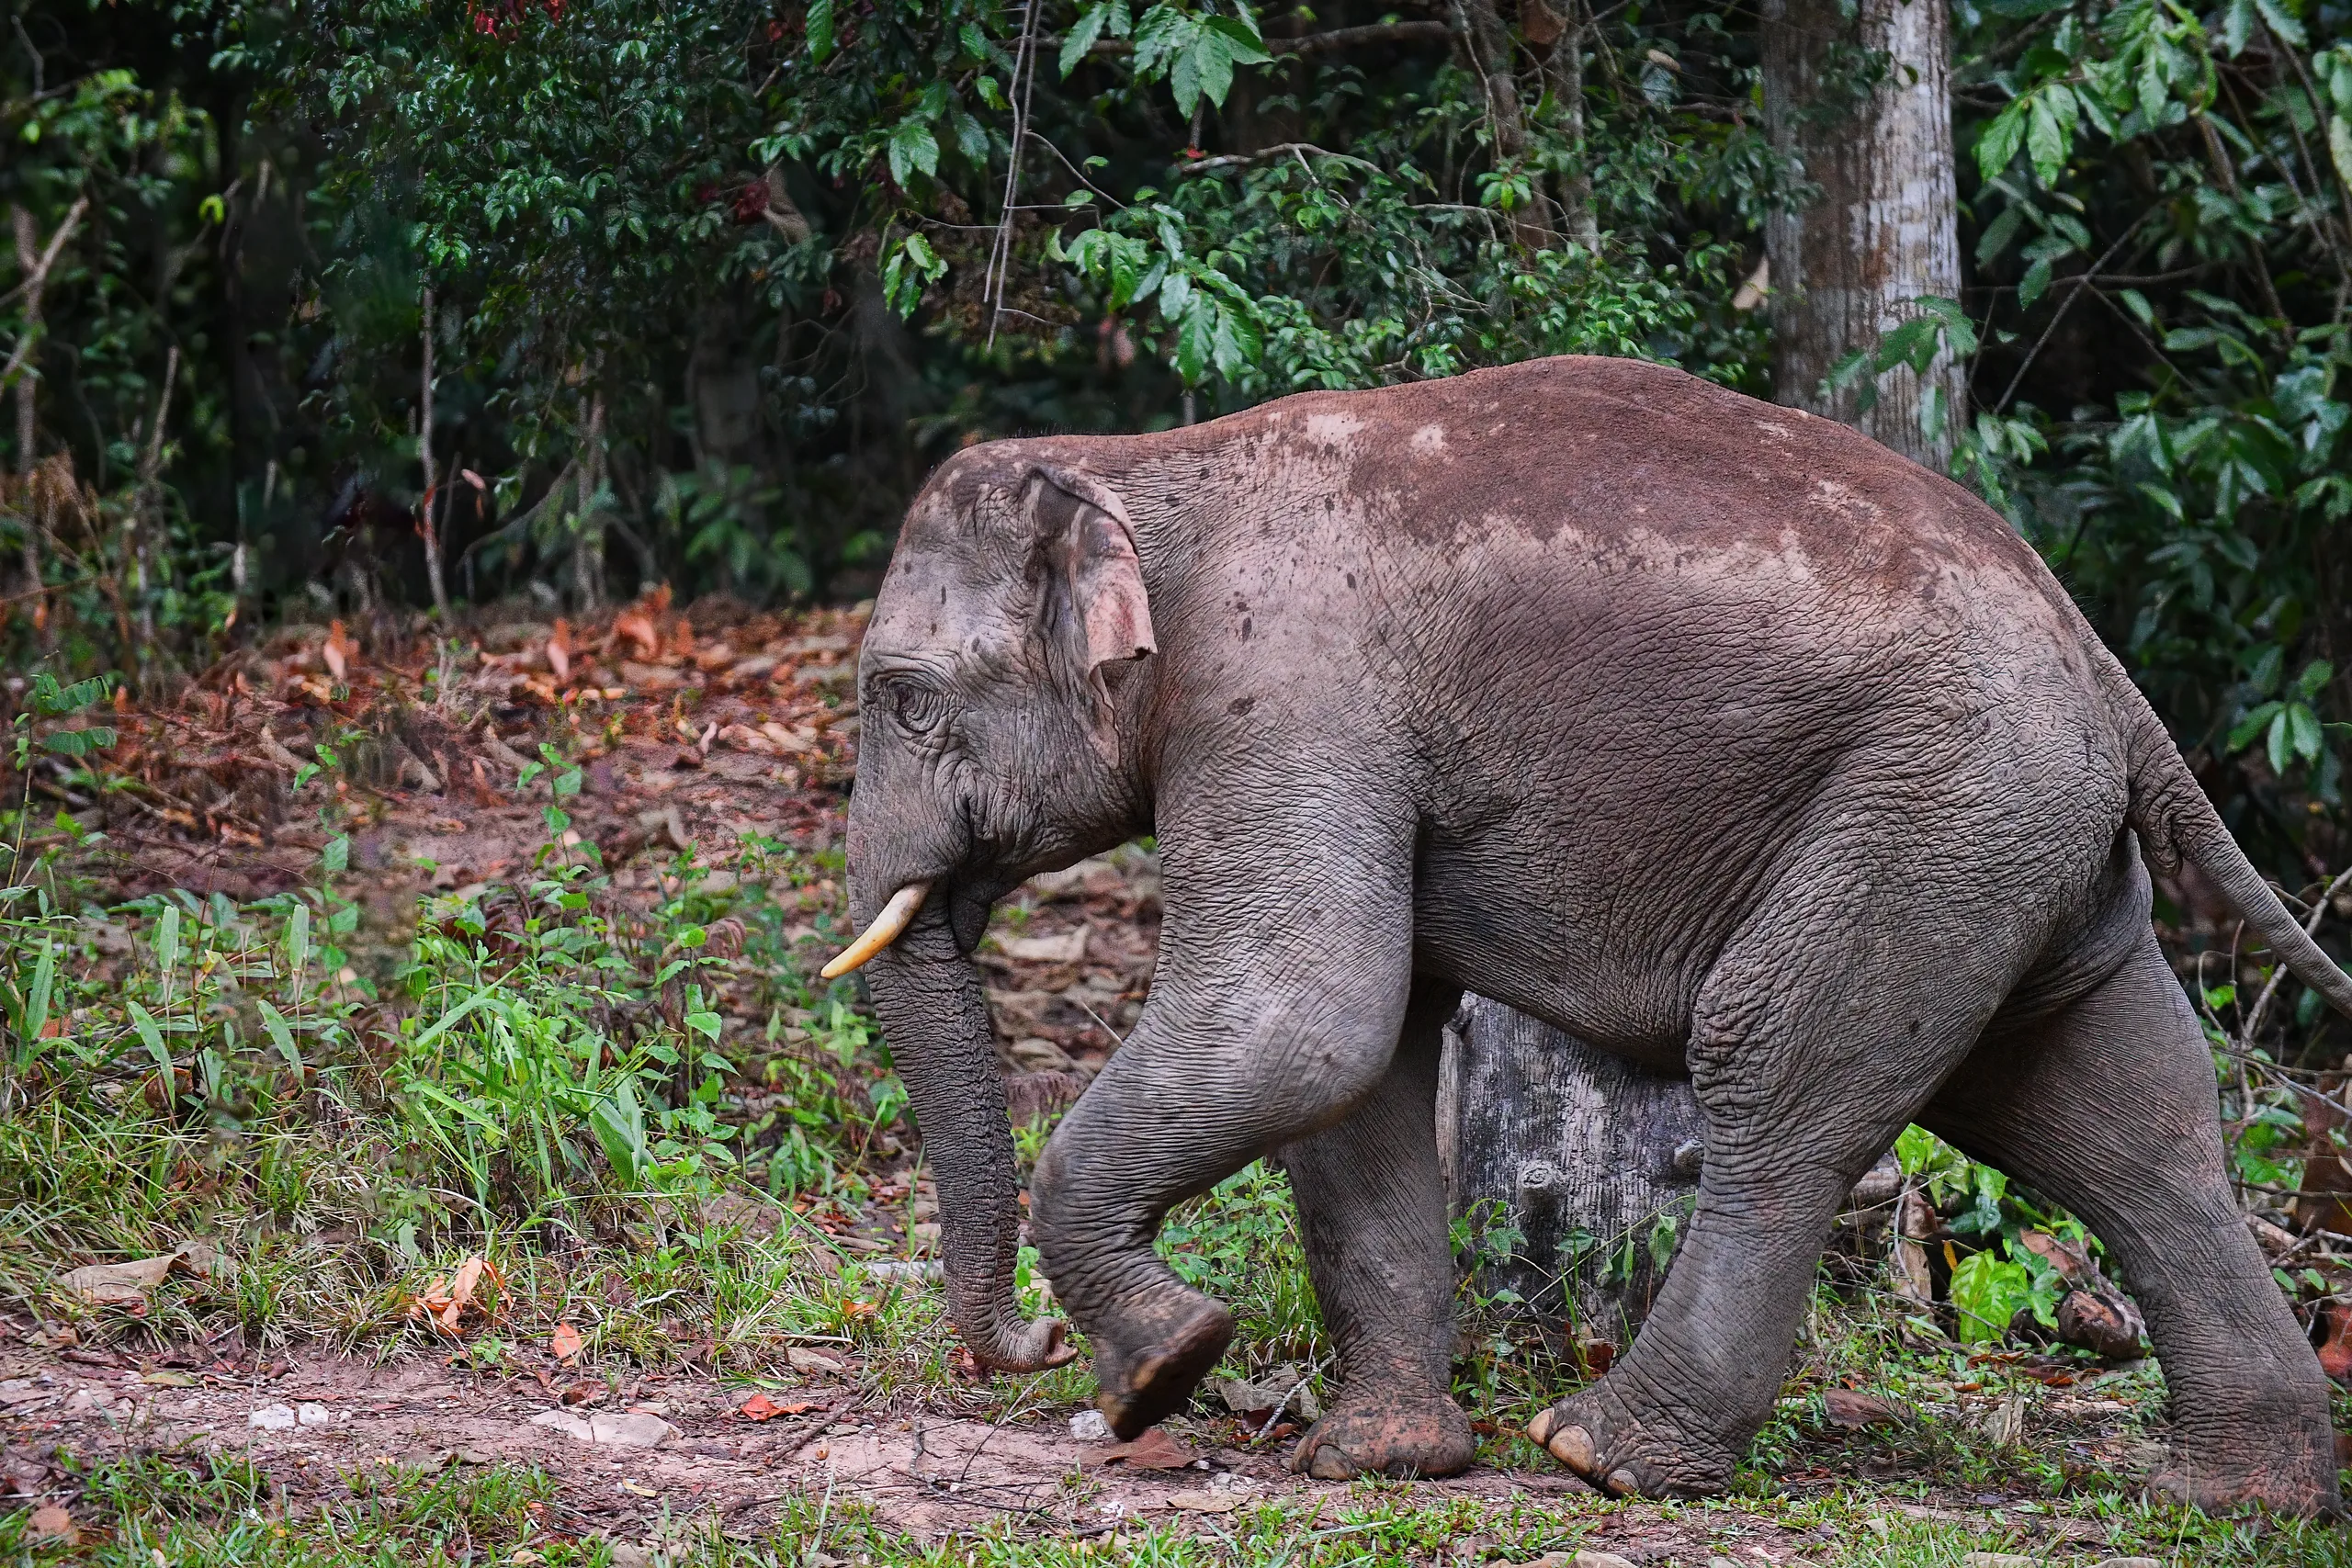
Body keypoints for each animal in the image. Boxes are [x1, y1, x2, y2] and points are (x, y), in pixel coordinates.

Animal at [825, 354, 2351, 1515]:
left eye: (904, 697)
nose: (1019, 1346)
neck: (1146, 466)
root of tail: (2097, 652)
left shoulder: (1285, 691)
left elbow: (1302, 1018)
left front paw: (1166, 1364)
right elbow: (1359, 1066)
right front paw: (1377, 1456)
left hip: (1933, 813)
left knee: (1780, 1072)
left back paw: (1606, 1454)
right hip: (2019, 841)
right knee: (2111, 1114)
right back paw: (2236, 1490)